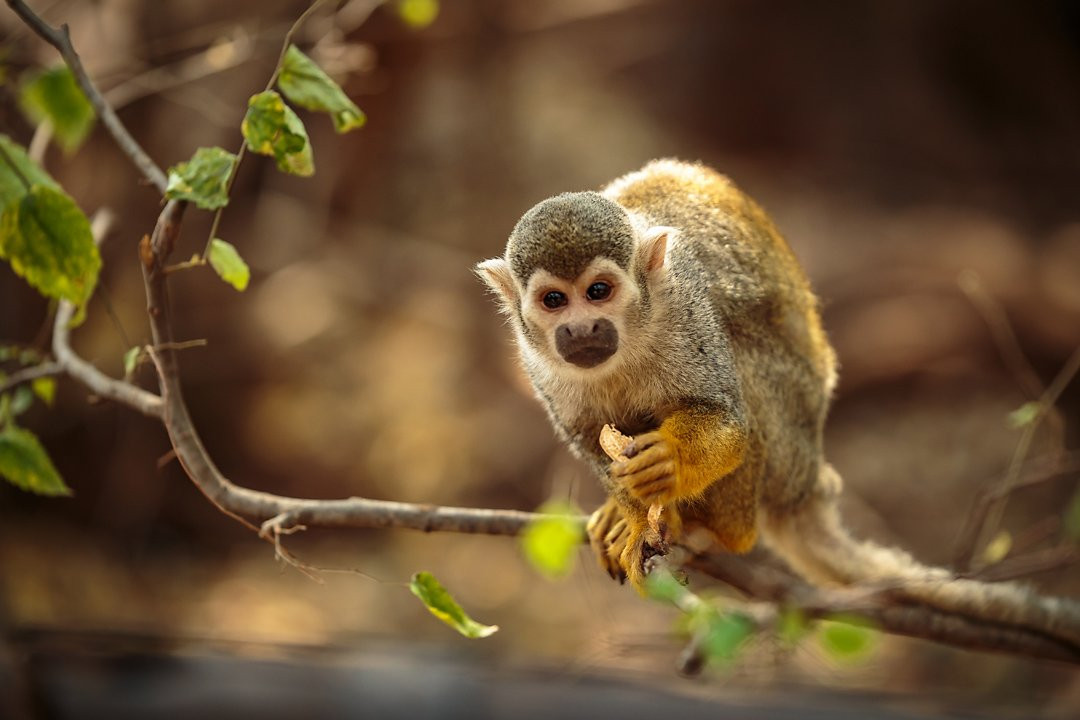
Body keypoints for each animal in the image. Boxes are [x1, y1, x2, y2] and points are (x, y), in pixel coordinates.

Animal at [476, 159, 1080, 647]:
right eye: (554, 301)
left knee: (746, 362)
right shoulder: (538, 366)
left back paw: (719, 531)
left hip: (790, 447)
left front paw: (669, 463)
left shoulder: (686, 313)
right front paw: (629, 510)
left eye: (598, 292)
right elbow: (589, 441)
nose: (581, 330)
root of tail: (808, 482)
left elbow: (729, 424)